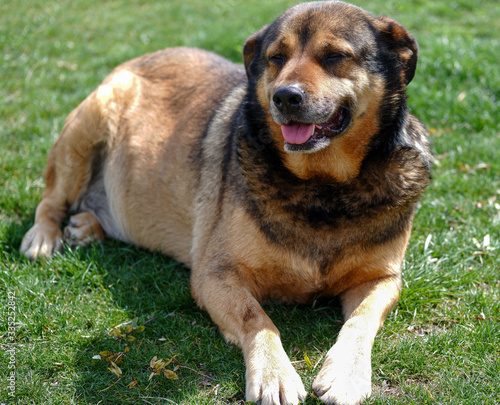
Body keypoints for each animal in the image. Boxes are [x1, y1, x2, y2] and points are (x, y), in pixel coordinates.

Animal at [21, 1, 432, 402]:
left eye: (335, 56)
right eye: (276, 57)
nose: (284, 97)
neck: (323, 187)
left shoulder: (383, 278)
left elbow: (361, 320)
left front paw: (346, 374)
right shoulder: (214, 275)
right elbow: (258, 318)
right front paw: (274, 373)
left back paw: (87, 226)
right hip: (87, 126)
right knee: (50, 201)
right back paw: (44, 236)